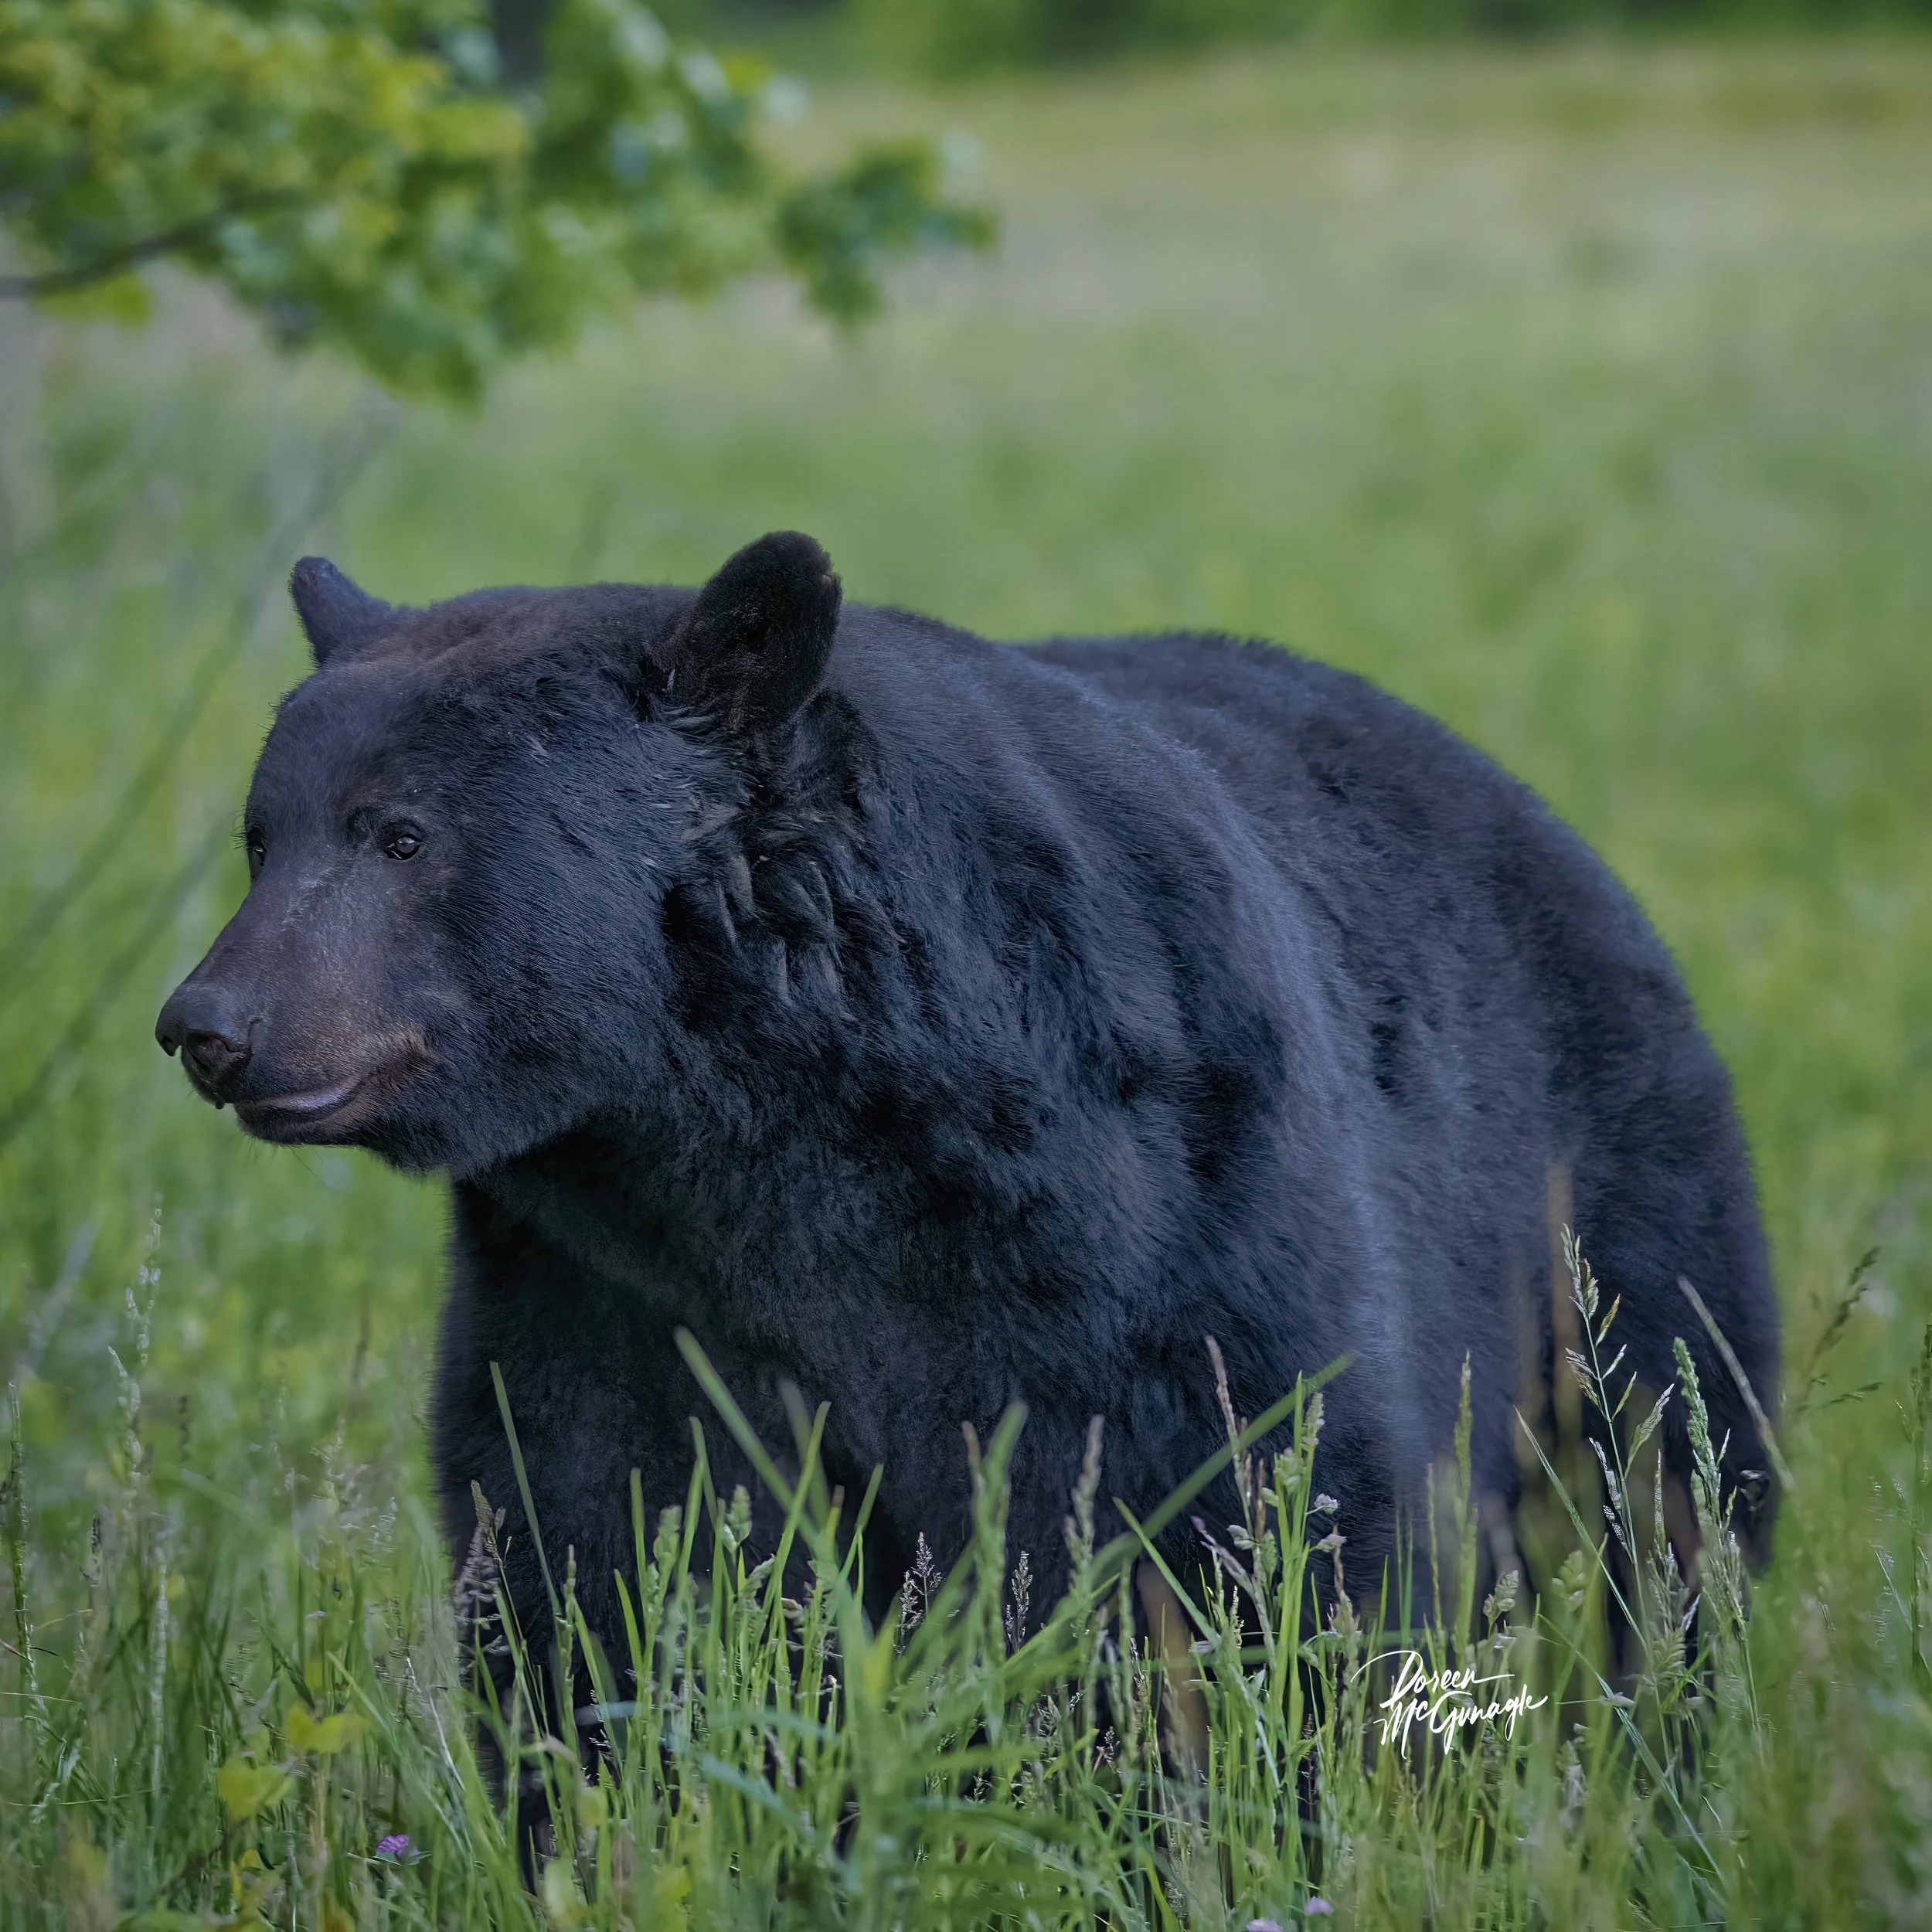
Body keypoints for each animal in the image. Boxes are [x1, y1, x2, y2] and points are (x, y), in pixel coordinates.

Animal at [157, 529, 1779, 1732]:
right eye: (262, 833)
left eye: (400, 833)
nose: (209, 1024)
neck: (756, 1140)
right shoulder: (595, 1281)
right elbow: (593, 1538)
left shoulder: (1160, 1222)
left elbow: (1263, 1510)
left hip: (1604, 1222)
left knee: (1670, 1499)